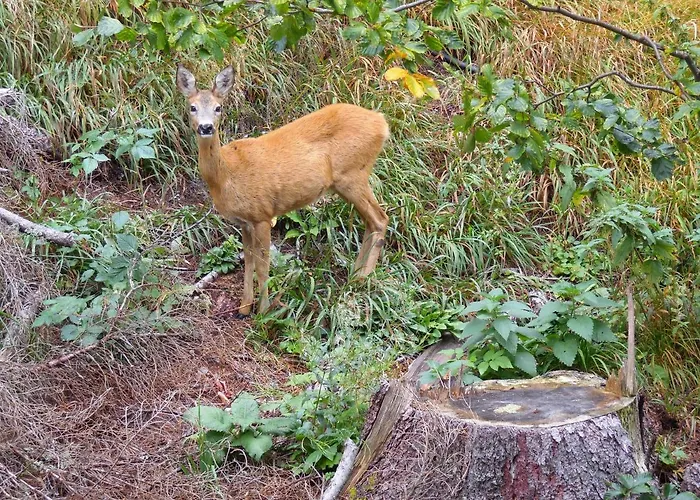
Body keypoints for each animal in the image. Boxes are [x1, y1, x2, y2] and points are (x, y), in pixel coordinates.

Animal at [176, 65, 390, 316]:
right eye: (192, 107)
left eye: (218, 107)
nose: (206, 127)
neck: (227, 175)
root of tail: (381, 122)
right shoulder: (244, 222)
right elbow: (248, 261)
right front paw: (244, 307)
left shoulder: (263, 214)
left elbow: (263, 265)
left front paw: (264, 312)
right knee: (370, 222)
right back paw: (354, 277)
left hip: (353, 174)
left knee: (380, 219)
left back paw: (363, 280)